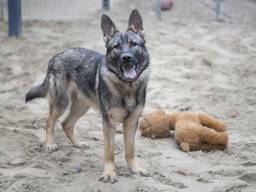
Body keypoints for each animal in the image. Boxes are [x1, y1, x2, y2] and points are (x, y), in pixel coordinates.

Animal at [25, 9, 150, 183]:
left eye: (133, 44)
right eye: (117, 47)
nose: (126, 58)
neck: (127, 87)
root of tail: (56, 56)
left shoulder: (131, 123)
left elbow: (130, 150)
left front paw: (135, 169)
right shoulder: (108, 123)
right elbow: (109, 152)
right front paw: (109, 173)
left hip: (81, 107)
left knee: (66, 124)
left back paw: (78, 144)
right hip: (61, 103)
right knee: (49, 121)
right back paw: (50, 144)